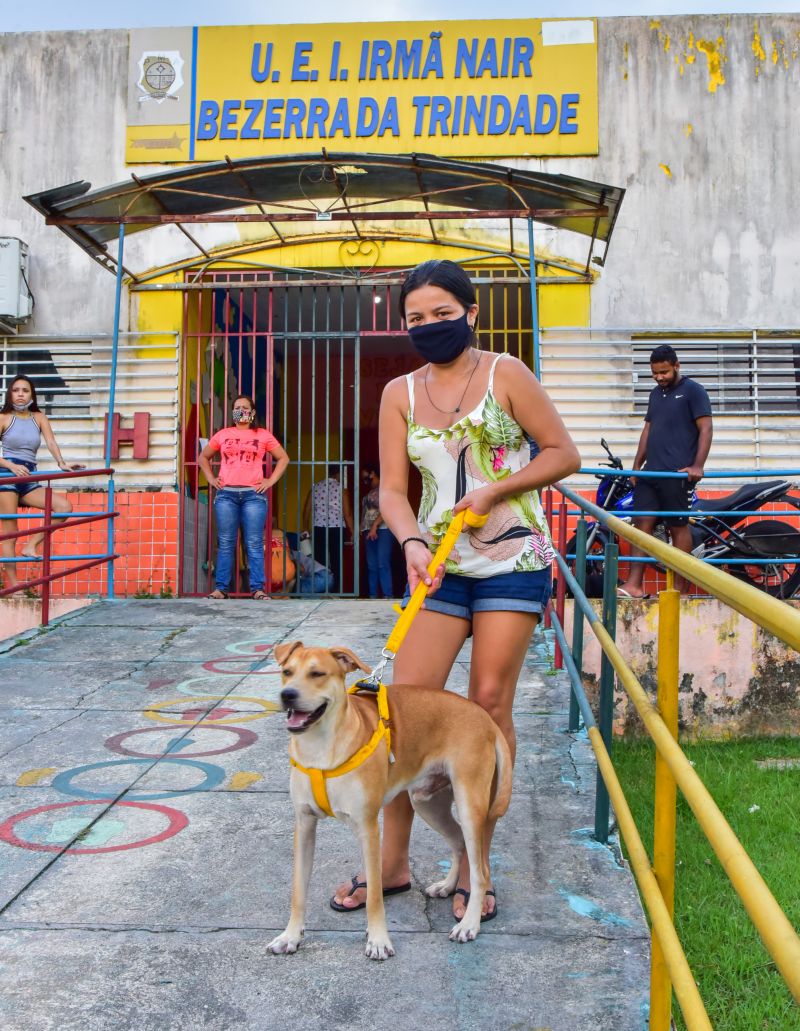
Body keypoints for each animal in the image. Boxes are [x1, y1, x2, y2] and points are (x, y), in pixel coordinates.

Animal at [265, 639, 509, 960]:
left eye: (317, 674)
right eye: (287, 672)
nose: (287, 695)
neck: (321, 748)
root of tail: (485, 718)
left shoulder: (368, 828)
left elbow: (374, 896)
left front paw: (379, 940)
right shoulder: (304, 825)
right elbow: (298, 890)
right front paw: (290, 936)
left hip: (470, 805)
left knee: (480, 870)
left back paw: (469, 923)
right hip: (427, 802)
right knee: (459, 844)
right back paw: (447, 886)